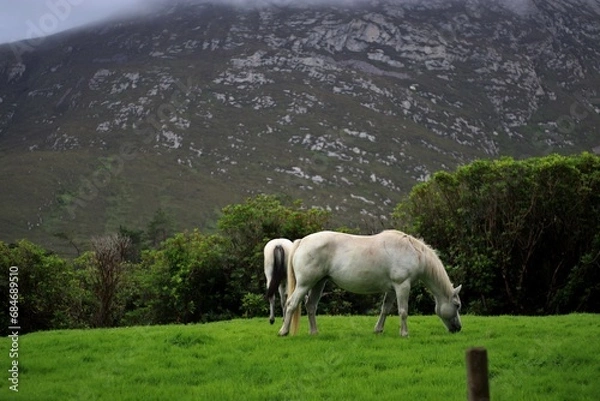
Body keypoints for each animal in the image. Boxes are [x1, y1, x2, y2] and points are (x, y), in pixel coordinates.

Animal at [278, 230, 462, 336]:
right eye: (457, 305)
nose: (458, 328)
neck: (413, 252)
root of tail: (301, 241)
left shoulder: (392, 289)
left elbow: (385, 310)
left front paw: (378, 330)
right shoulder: (402, 286)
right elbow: (403, 311)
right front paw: (404, 333)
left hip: (318, 283)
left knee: (310, 306)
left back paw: (314, 332)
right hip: (305, 284)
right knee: (291, 304)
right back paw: (283, 331)